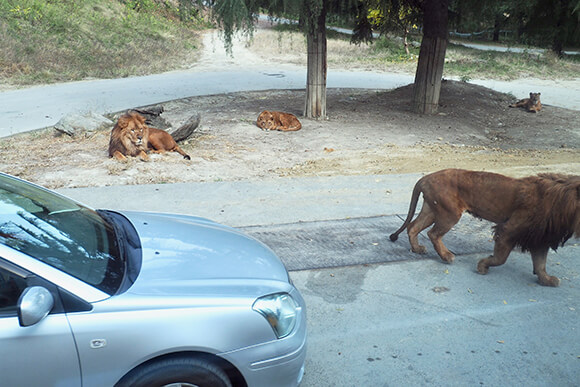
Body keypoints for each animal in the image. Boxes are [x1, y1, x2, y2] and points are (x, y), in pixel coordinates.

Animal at [390, 170, 580, 288]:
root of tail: (425, 178)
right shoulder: (508, 229)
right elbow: (500, 258)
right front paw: (483, 266)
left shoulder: (540, 237)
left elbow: (541, 263)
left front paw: (546, 280)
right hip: (449, 214)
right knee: (432, 233)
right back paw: (446, 256)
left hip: (431, 209)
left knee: (413, 227)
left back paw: (417, 249)